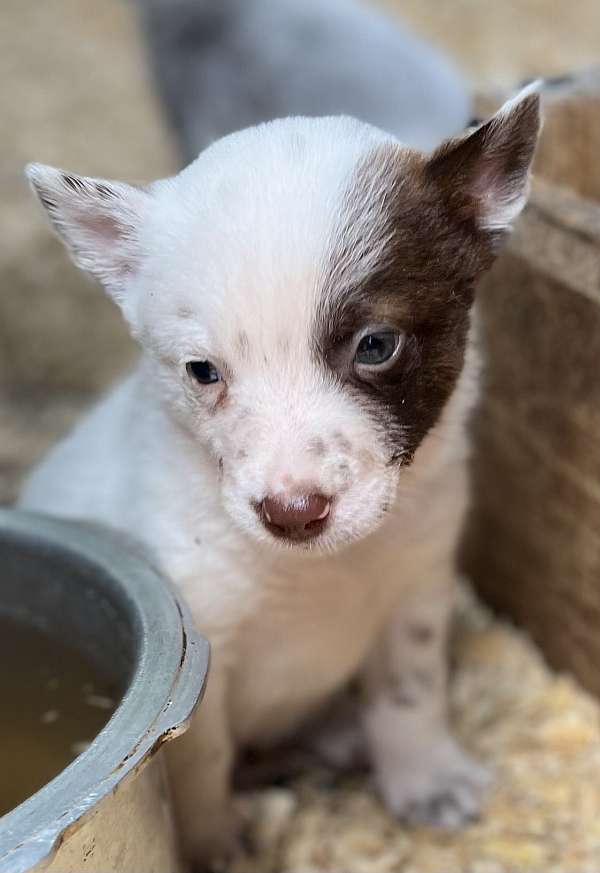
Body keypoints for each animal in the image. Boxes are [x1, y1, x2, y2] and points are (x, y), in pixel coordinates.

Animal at [22, 92, 540, 868]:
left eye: (376, 346)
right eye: (202, 371)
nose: (293, 511)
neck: (315, 573)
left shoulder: (416, 585)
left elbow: (410, 690)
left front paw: (427, 777)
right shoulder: (201, 647)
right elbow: (201, 763)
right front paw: (213, 845)